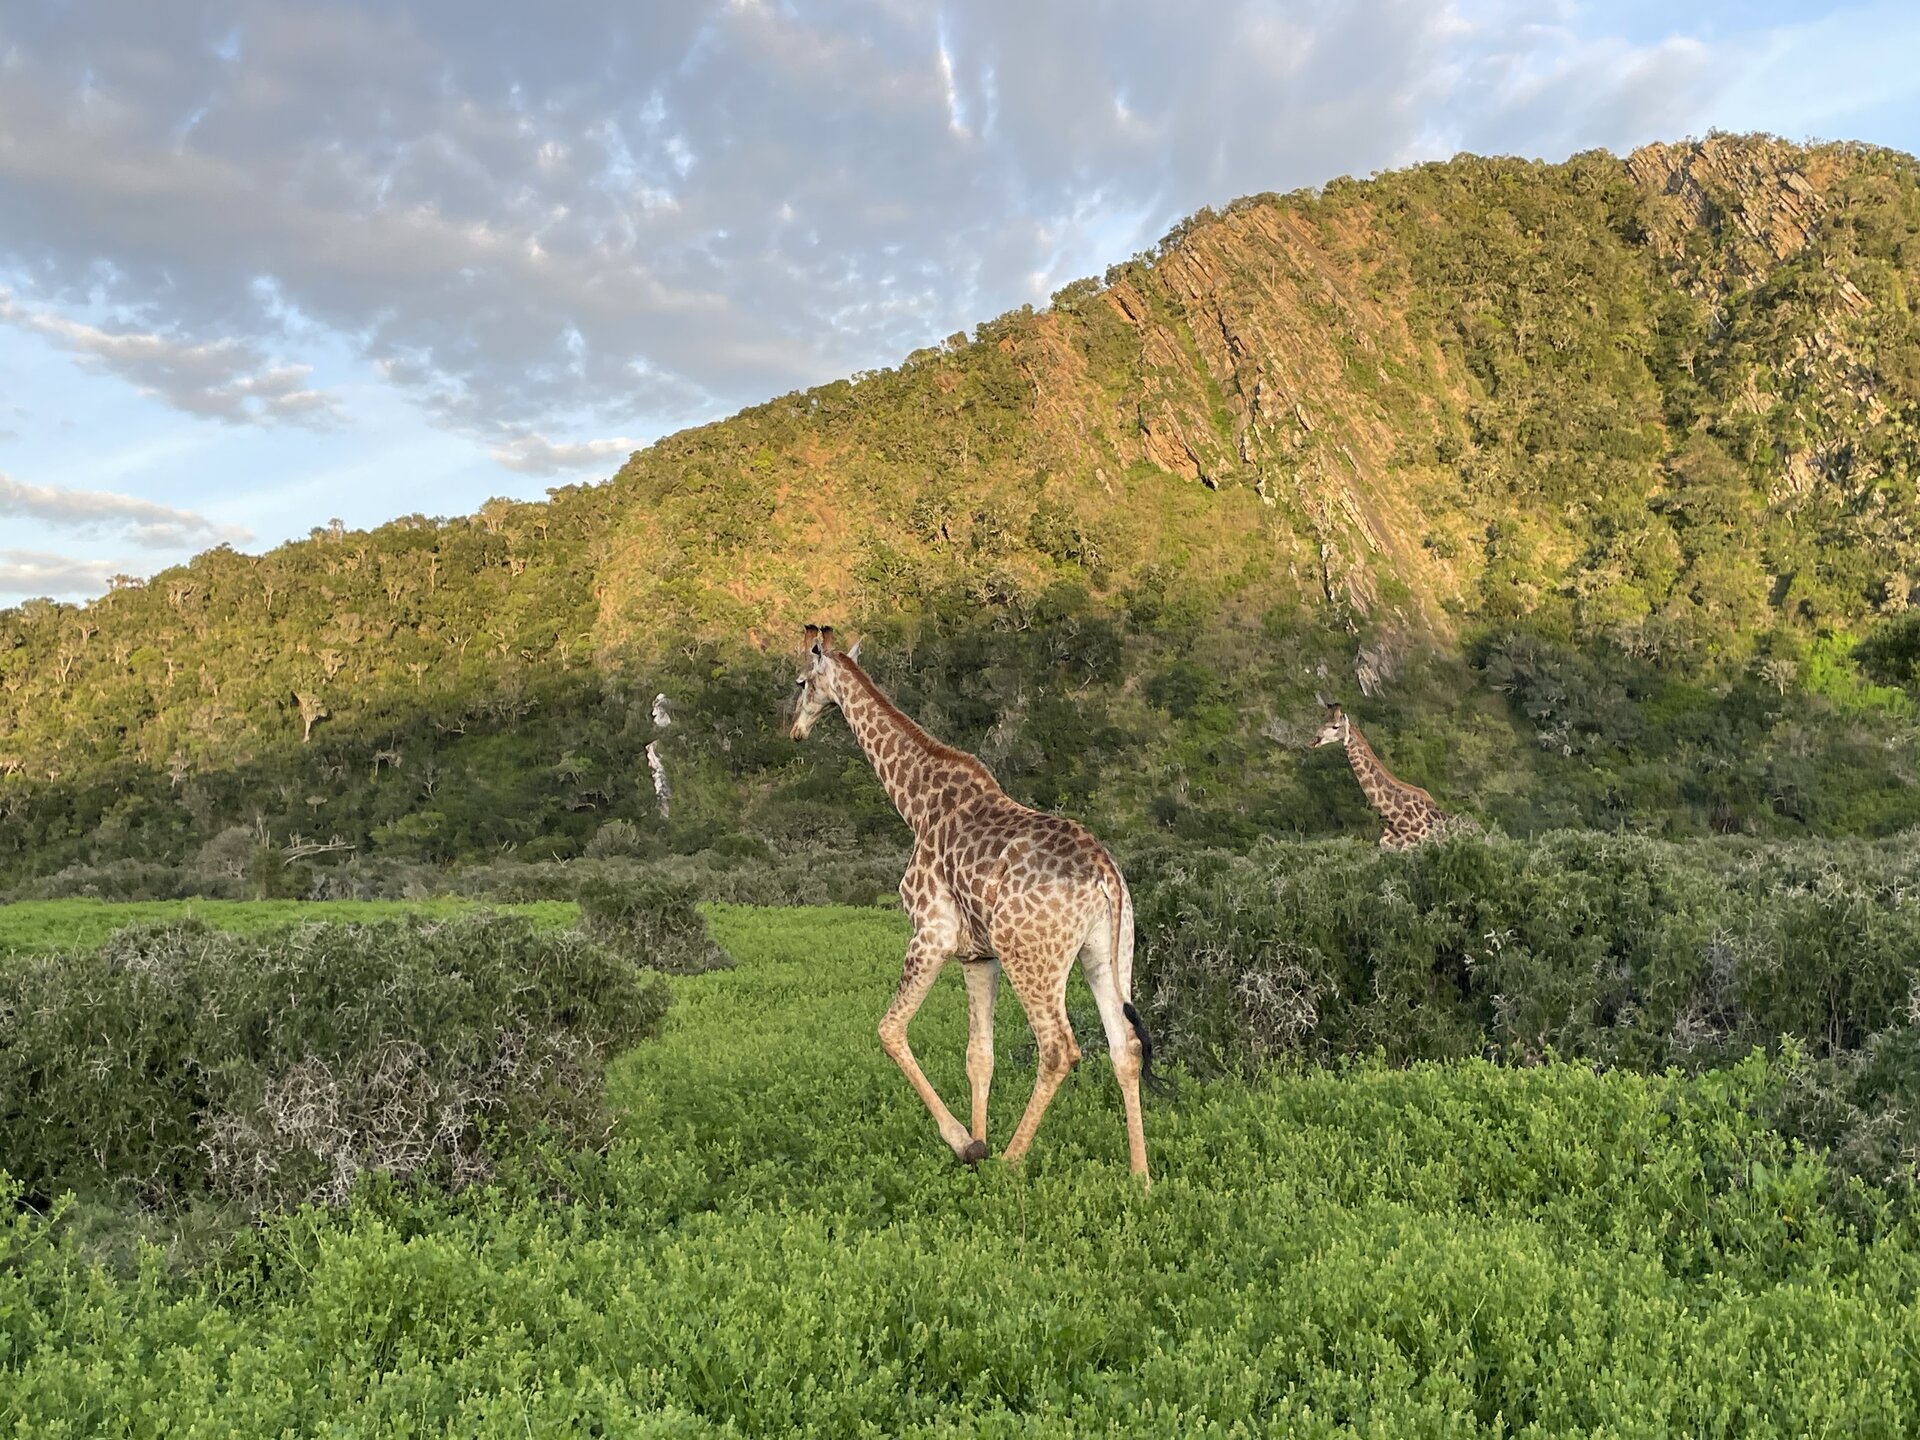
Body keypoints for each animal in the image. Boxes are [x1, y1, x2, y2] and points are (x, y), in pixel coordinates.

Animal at [788, 625, 1154, 1183]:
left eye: (802, 681)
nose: (795, 729)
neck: (915, 802)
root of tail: (1105, 878)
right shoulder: (978, 955)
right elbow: (979, 1054)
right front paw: (978, 1141)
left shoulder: (931, 934)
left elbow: (889, 1030)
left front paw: (967, 1145)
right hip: (1109, 952)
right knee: (1125, 1045)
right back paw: (1141, 1176)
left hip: (1033, 957)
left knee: (1059, 1049)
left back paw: (1012, 1161)